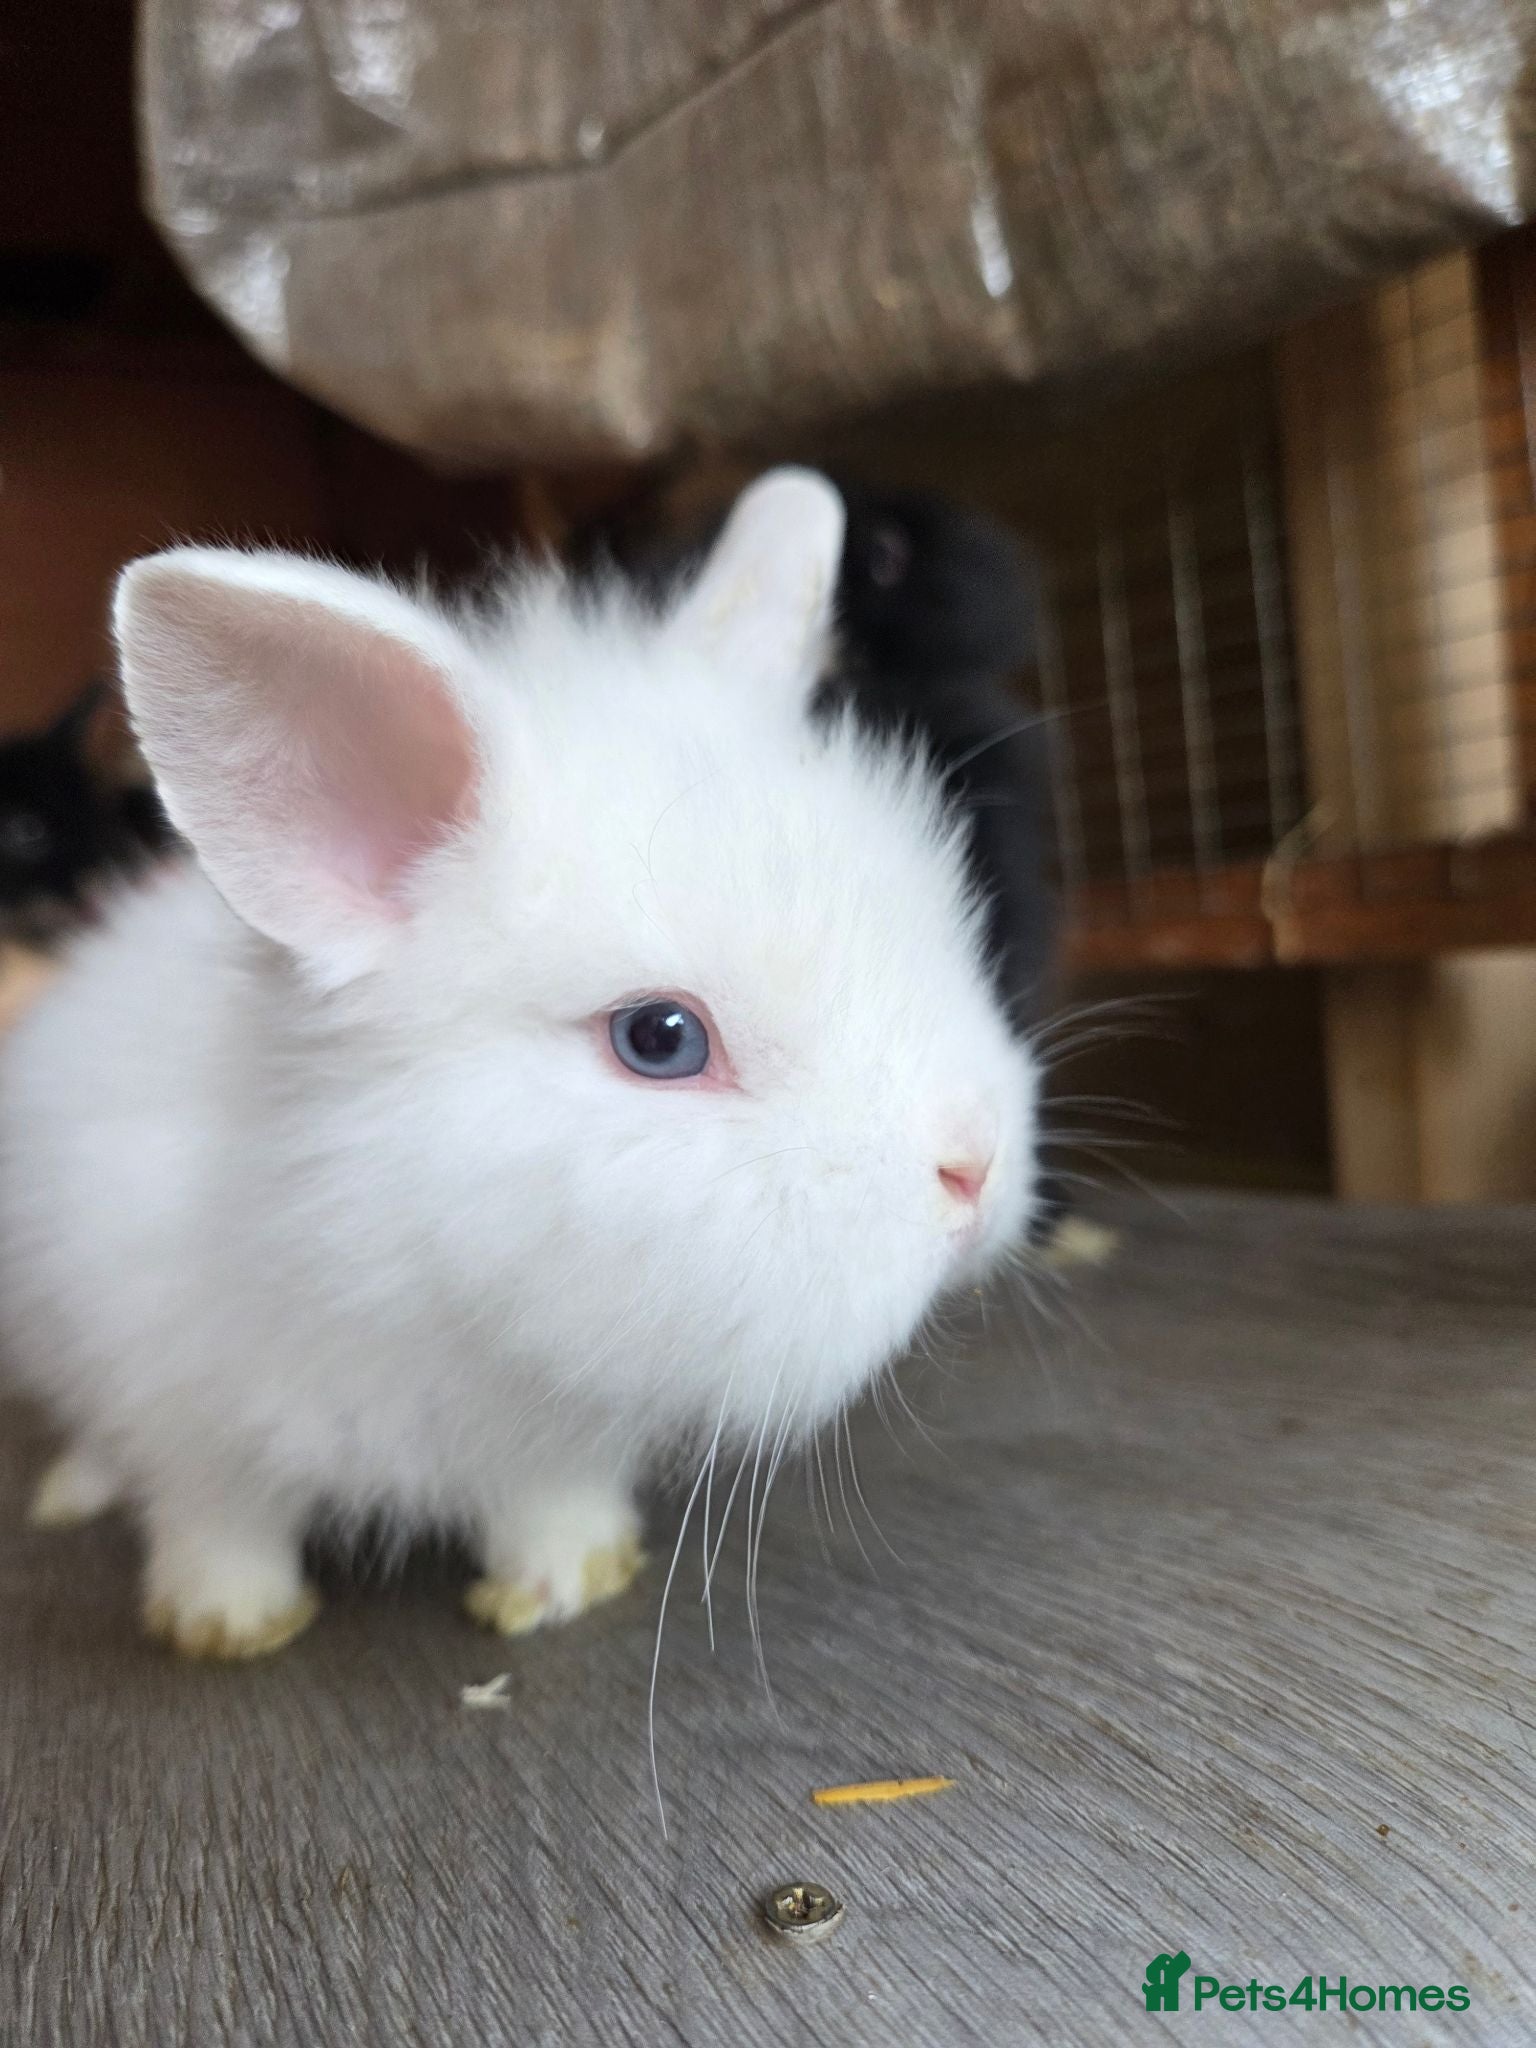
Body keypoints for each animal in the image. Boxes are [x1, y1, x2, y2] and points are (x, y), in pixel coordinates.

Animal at [0, 469, 1040, 1661]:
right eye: (660, 1038)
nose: (974, 1170)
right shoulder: (183, 1408)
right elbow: (216, 1517)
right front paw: (227, 1622)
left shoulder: (552, 1435)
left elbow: (547, 1502)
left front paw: (565, 1581)